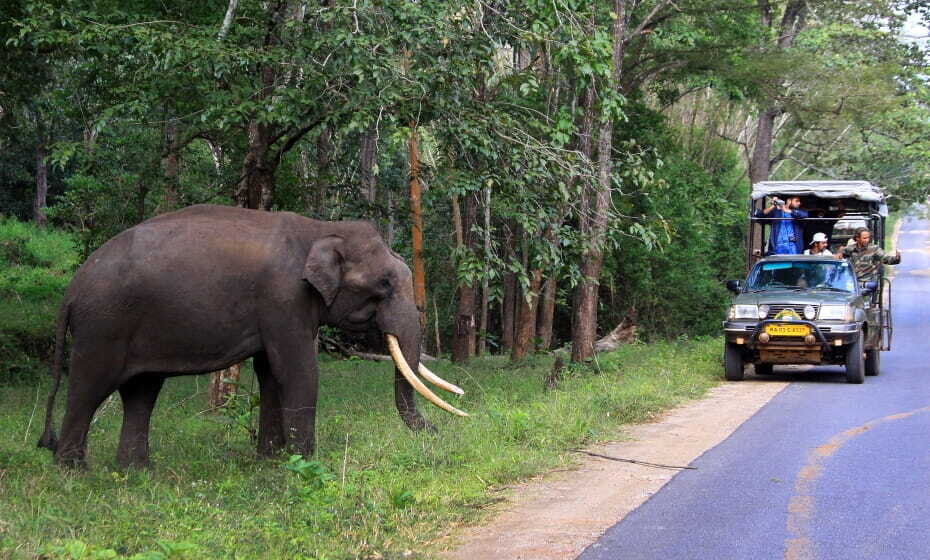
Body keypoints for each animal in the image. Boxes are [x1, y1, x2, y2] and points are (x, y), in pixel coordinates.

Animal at [37, 203, 468, 466]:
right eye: (384, 284)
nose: (437, 431)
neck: (321, 228)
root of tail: (70, 291)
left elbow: (270, 373)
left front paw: (270, 461)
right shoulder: (284, 297)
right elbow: (296, 369)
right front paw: (303, 462)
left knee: (141, 392)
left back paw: (134, 472)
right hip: (103, 325)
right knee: (89, 387)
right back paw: (73, 472)